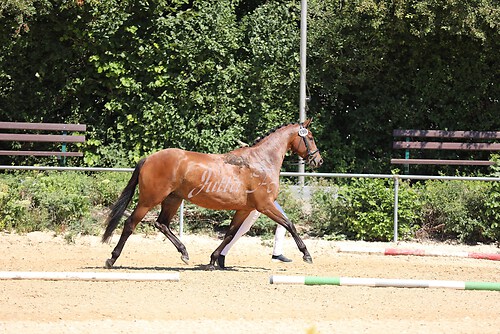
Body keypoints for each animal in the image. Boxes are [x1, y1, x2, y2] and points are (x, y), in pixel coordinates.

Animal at [101, 118, 324, 270]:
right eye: (311, 137)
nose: (318, 160)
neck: (261, 161)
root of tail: (148, 158)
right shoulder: (265, 205)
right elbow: (290, 224)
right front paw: (307, 255)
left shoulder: (245, 209)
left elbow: (230, 234)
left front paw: (213, 260)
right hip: (149, 200)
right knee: (130, 224)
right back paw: (112, 259)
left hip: (173, 199)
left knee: (161, 224)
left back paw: (184, 253)